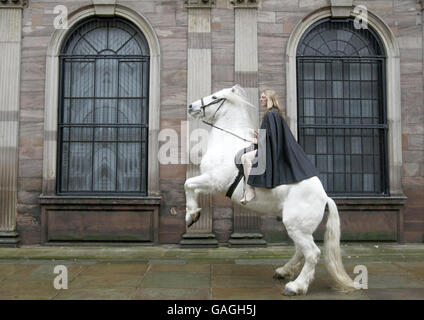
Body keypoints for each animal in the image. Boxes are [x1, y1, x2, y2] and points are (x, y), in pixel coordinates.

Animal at [186, 84, 358, 296]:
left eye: (215, 97)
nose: (191, 106)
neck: (227, 142)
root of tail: (324, 197)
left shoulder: (214, 181)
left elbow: (188, 184)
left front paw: (191, 214)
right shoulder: (209, 182)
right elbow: (192, 188)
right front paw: (193, 215)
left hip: (296, 226)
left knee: (312, 254)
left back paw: (296, 286)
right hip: (296, 226)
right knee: (300, 251)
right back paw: (284, 271)